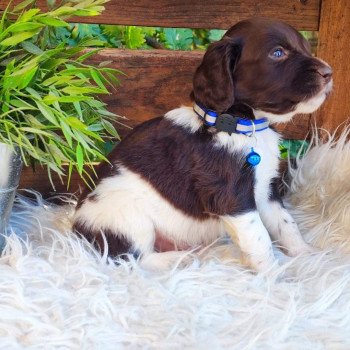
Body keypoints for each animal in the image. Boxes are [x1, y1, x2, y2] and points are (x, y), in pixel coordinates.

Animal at [72, 17, 332, 272]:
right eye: (277, 53)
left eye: (306, 49)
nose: (329, 72)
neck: (242, 126)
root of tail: (76, 228)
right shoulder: (232, 196)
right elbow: (259, 238)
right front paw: (273, 277)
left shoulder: (266, 188)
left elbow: (286, 224)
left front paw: (306, 255)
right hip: (125, 214)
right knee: (130, 257)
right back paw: (178, 260)